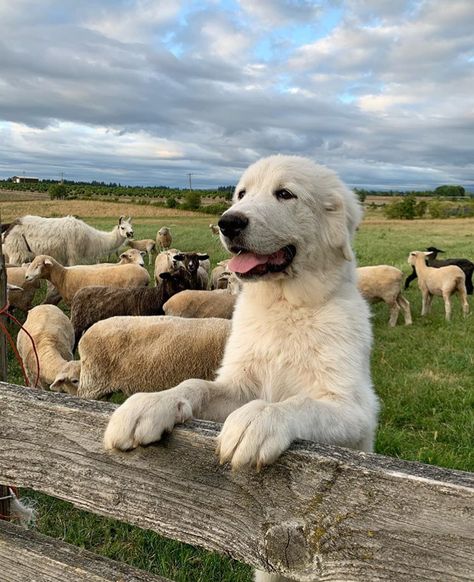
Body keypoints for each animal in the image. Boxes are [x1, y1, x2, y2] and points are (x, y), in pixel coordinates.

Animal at [3, 217, 133, 266]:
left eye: (131, 227)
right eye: (122, 227)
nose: (131, 233)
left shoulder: (65, 256)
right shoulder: (73, 254)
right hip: (17, 251)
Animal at [105, 154, 380, 582]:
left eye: (285, 194)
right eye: (241, 194)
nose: (228, 222)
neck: (284, 306)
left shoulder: (356, 411)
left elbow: (295, 403)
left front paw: (258, 420)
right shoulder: (236, 386)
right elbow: (195, 384)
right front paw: (149, 404)